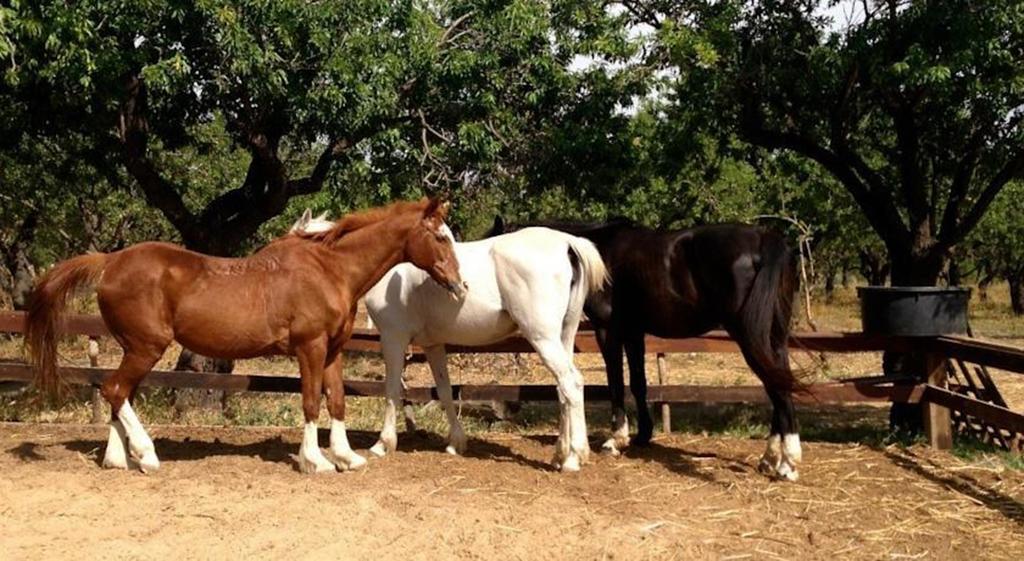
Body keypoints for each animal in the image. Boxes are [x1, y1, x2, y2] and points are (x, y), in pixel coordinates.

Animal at [27, 197, 468, 472]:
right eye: (440, 236)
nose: (460, 285)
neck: (329, 270)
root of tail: (111, 260)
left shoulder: (334, 350)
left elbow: (337, 401)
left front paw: (347, 458)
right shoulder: (309, 348)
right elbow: (311, 402)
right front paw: (315, 461)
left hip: (134, 349)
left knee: (120, 395)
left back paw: (119, 459)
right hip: (146, 348)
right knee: (115, 391)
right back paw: (147, 456)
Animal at [292, 208, 602, 468]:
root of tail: (566, 243)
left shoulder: (393, 338)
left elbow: (392, 389)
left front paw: (383, 443)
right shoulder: (433, 344)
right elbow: (444, 390)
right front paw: (456, 443)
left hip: (542, 337)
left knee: (571, 383)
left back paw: (574, 458)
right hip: (563, 336)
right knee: (563, 390)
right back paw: (561, 453)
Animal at [489, 217, 806, 479]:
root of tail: (765, 239)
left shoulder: (609, 330)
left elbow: (616, 382)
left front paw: (616, 439)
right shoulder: (634, 333)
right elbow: (639, 383)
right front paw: (642, 435)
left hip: (749, 335)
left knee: (777, 388)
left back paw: (787, 464)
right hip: (773, 336)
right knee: (780, 382)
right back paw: (771, 459)